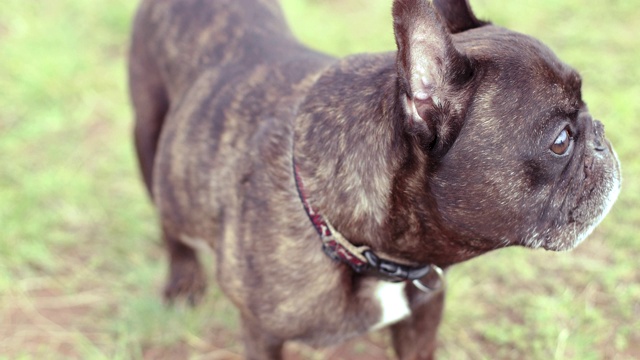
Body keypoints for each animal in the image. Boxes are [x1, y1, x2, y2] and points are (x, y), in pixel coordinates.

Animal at [129, 0, 620, 358]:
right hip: (148, 134)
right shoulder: (261, 336)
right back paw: (182, 279)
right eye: (560, 141)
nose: (602, 135)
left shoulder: (424, 314)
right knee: (166, 216)